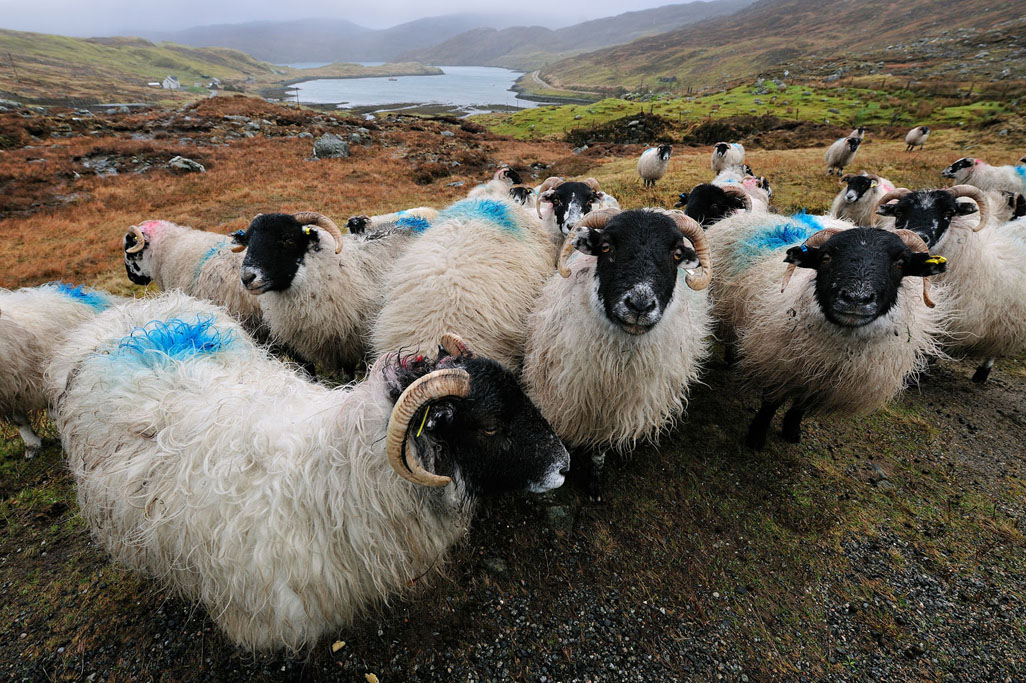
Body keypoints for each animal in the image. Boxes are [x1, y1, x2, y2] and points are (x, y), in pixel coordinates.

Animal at [234, 210, 416, 375]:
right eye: (248, 240)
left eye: (288, 239)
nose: (247, 277)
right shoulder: (299, 348)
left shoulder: (348, 344)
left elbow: (349, 374)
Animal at [521, 205, 714, 498]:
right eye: (606, 247)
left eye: (676, 254)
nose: (640, 305)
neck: (618, 365)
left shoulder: (612, 414)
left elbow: (600, 449)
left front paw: (595, 484)